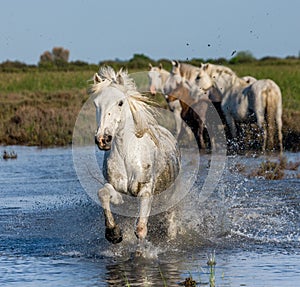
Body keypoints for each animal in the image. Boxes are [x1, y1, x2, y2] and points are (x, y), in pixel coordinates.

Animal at [91, 66, 180, 244]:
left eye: (120, 102)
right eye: (96, 103)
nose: (103, 139)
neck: (127, 155)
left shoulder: (145, 192)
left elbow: (140, 230)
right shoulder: (121, 194)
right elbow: (103, 193)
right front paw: (113, 233)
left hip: (170, 199)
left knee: (171, 223)